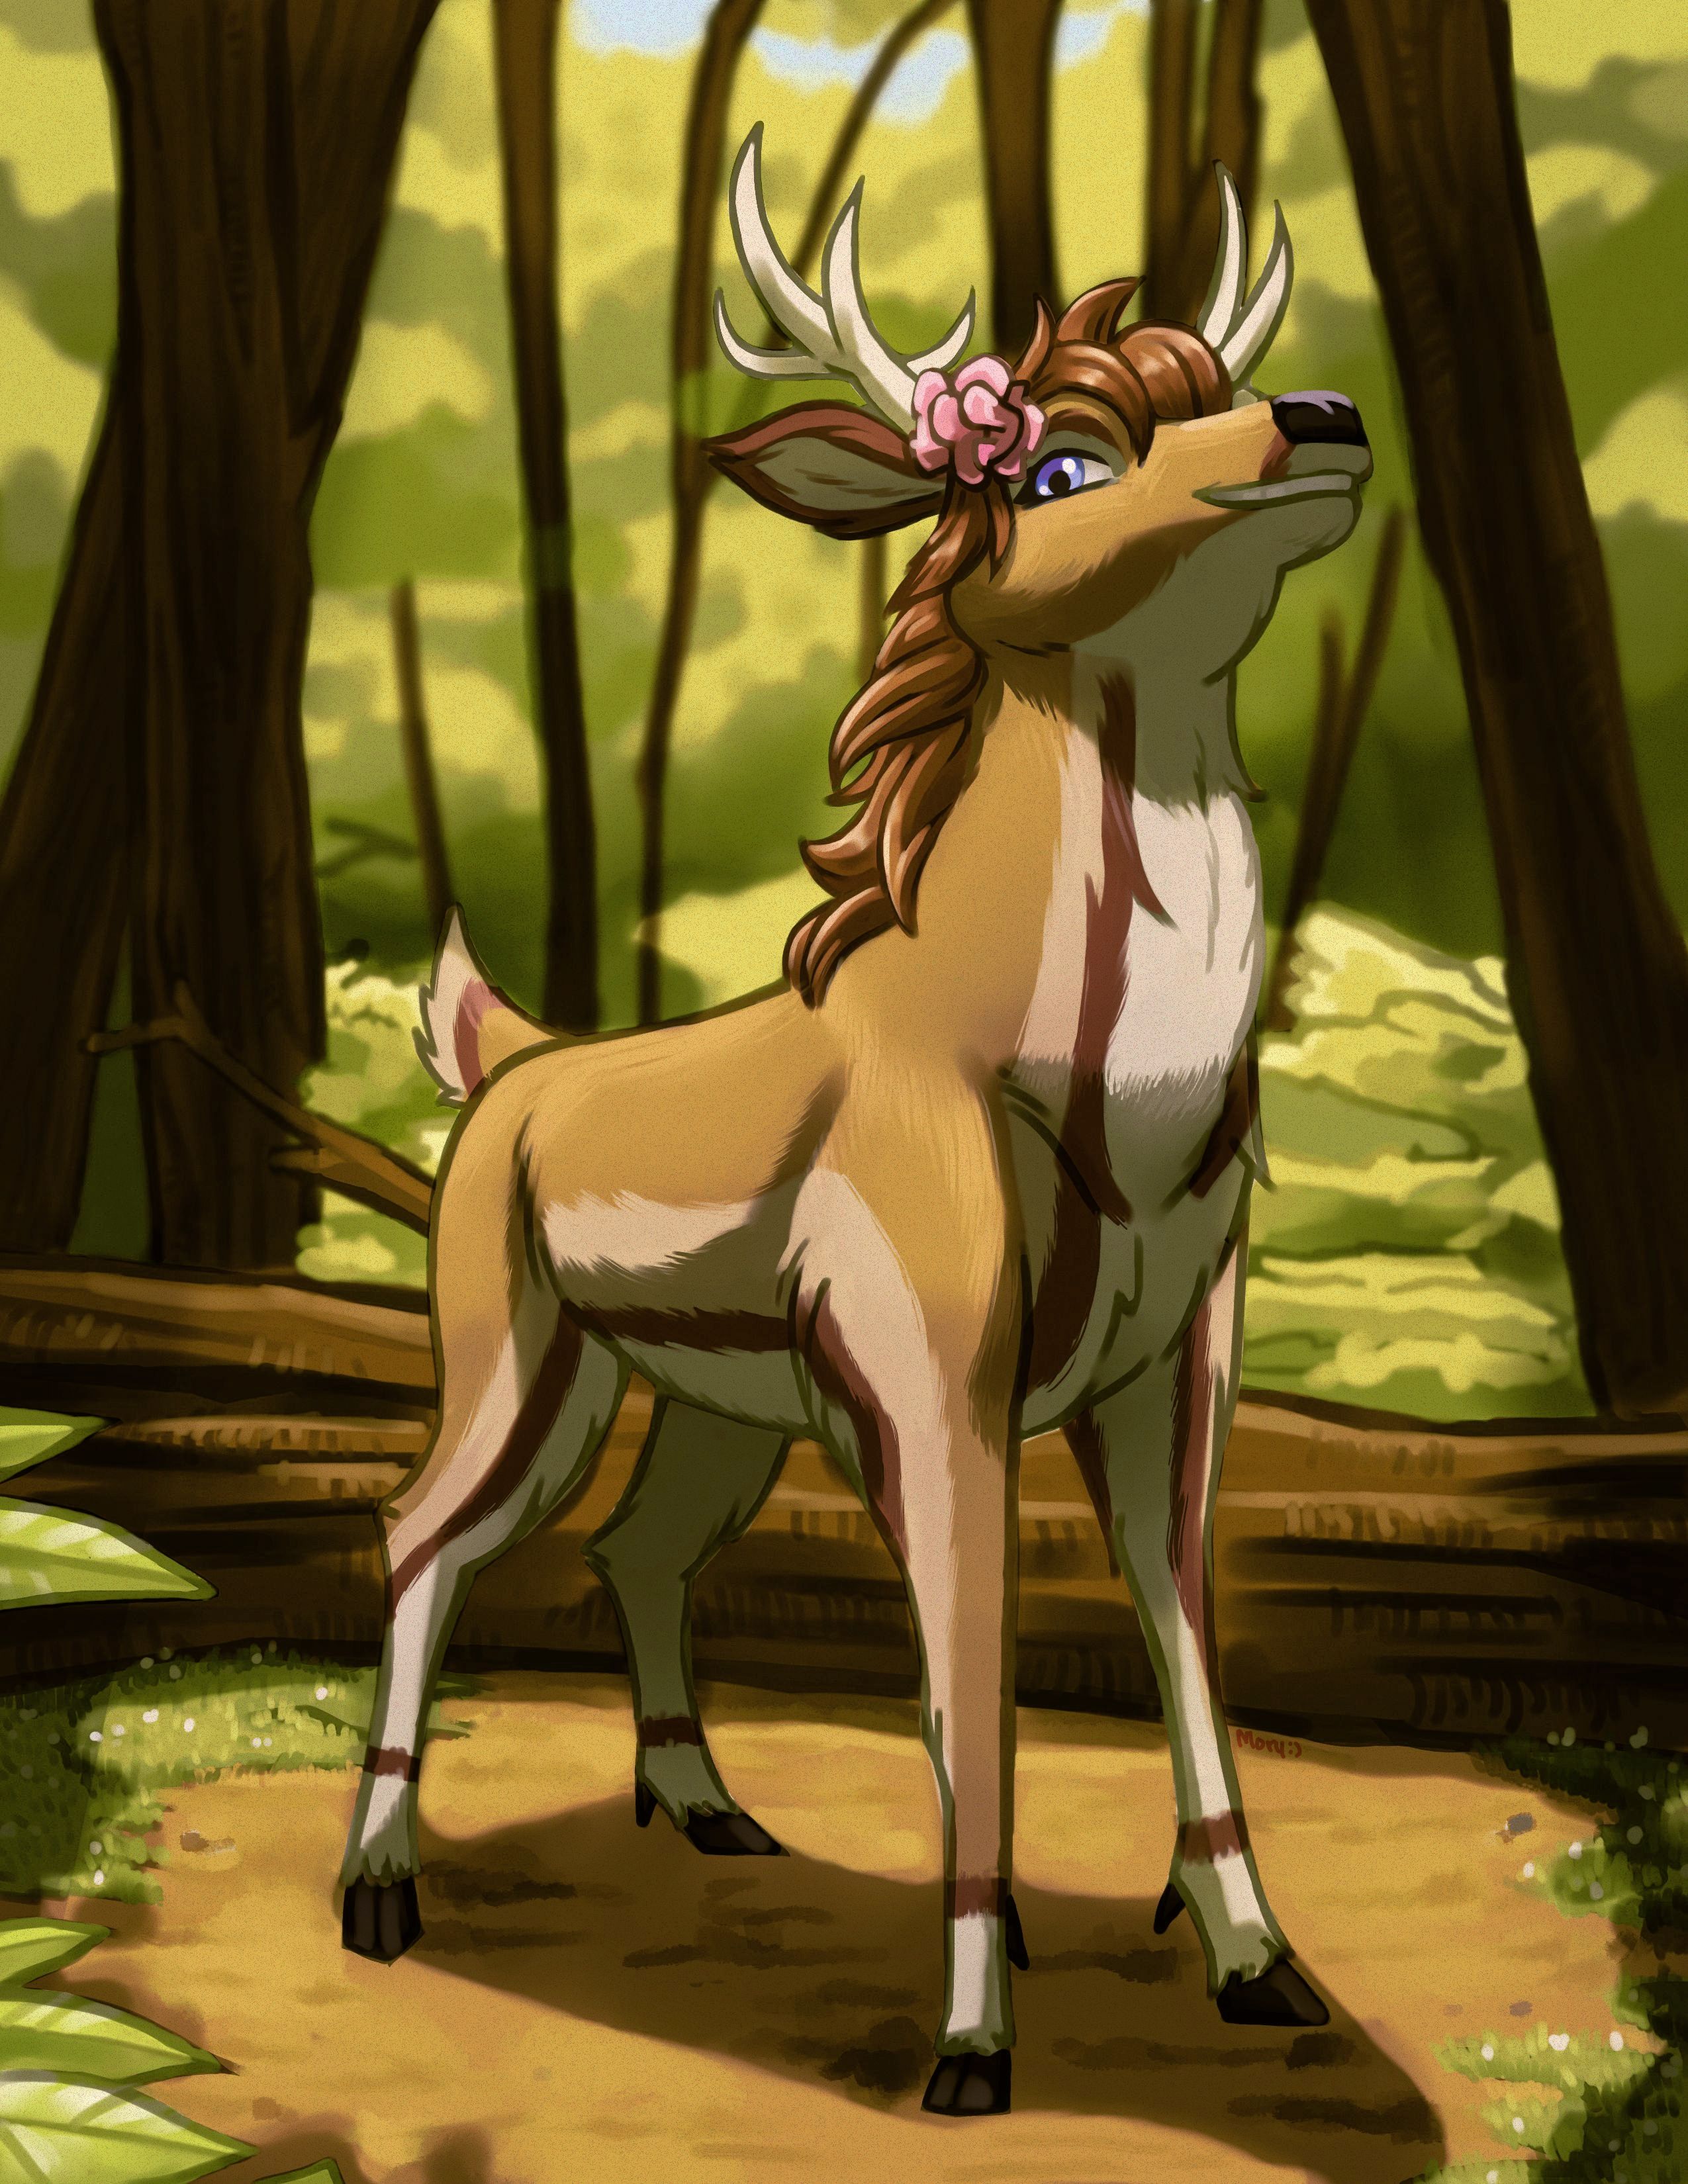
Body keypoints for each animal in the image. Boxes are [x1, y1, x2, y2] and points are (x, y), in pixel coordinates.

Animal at [338, 125, 1371, 2117]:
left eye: (1213, 379)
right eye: (1058, 460)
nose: (1323, 413)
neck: (1091, 1106)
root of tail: (502, 1062)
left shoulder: (1179, 1342)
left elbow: (1177, 1619)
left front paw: (1259, 1962)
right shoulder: (929, 1347)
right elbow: (969, 1668)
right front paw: (970, 2044)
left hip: (710, 1395)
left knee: (631, 1543)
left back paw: (702, 1806)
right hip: (510, 1342)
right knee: (419, 1527)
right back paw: (376, 1888)